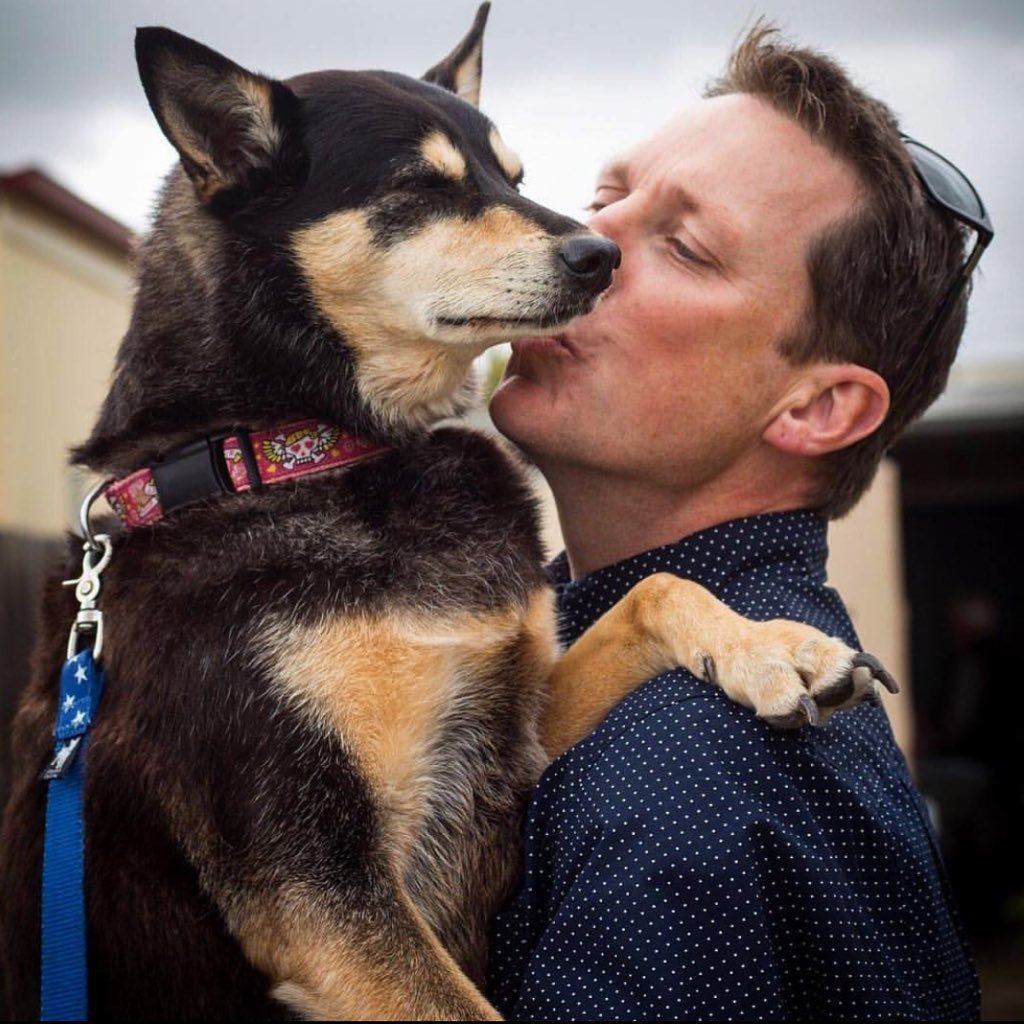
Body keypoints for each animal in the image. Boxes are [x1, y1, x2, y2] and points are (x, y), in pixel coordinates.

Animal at [0, 6, 892, 1015]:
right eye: (422, 186)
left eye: (516, 177)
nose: (603, 255)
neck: (293, 452)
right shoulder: (312, 880)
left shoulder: (513, 735)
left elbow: (655, 587)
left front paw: (775, 647)